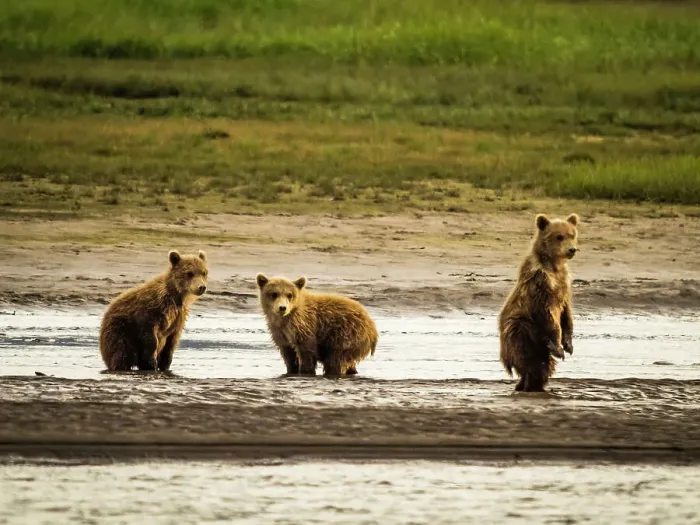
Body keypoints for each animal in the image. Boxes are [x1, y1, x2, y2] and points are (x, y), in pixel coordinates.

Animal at [498, 213, 580, 392]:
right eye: (559, 236)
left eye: (572, 235)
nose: (571, 250)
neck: (554, 266)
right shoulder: (541, 285)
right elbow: (550, 317)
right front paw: (559, 348)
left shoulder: (564, 283)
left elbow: (567, 314)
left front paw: (569, 345)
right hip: (521, 329)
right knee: (527, 357)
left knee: (543, 366)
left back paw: (532, 385)